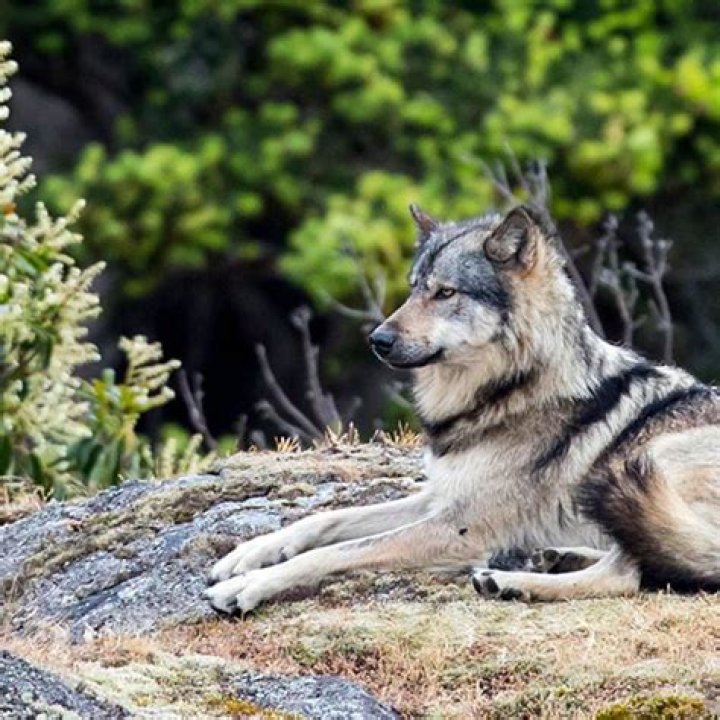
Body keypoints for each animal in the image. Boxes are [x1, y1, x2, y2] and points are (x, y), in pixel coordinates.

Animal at [205, 203, 720, 614]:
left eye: (446, 292)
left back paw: (509, 582)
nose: (378, 340)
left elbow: (339, 551)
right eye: (413, 288)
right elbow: (326, 519)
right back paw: (552, 557)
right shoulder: (440, 498)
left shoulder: (459, 526)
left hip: (641, 466)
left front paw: (246, 586)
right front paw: (245, 555)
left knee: (631, 574)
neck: (507, 393)